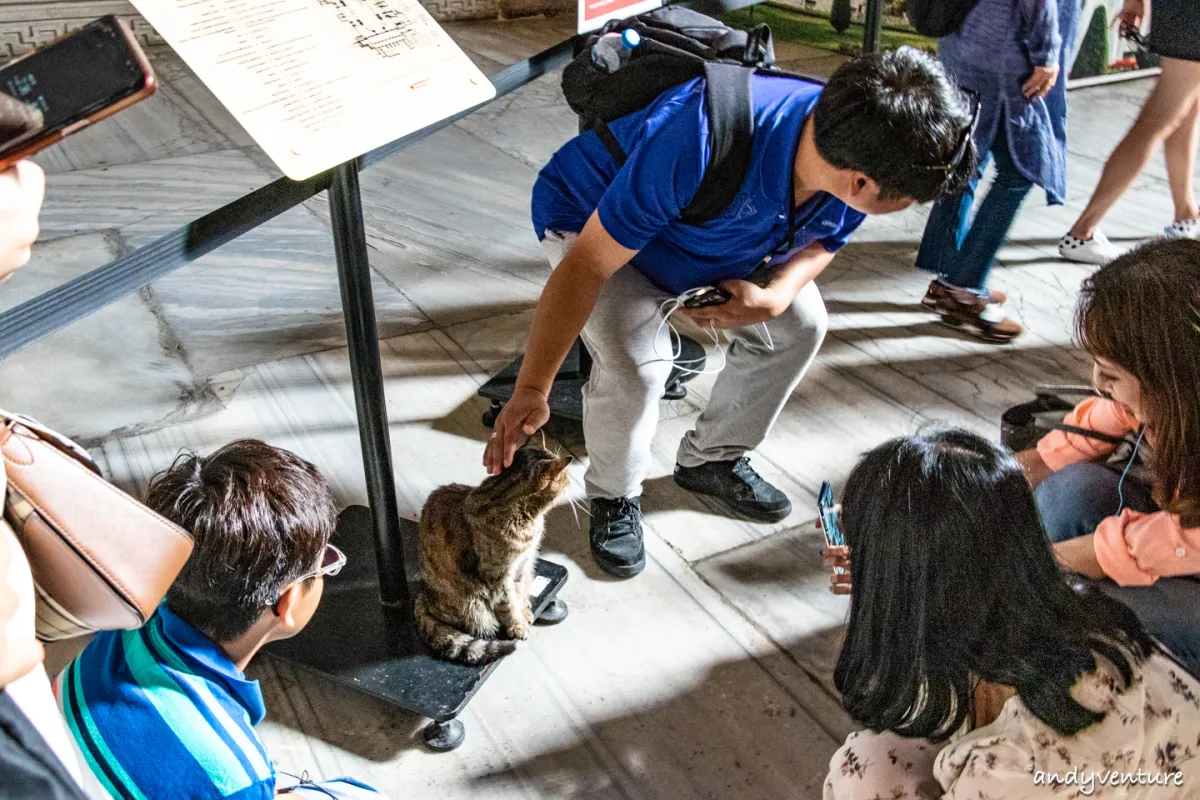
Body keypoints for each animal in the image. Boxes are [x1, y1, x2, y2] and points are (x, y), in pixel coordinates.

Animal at [417, 448, 571, 666]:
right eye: (565, 476)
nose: (570, 482)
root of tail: (424, 594)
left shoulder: (523, 563)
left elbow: (519, 591)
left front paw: (523, 610)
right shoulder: (498, 576)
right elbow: (508, 603)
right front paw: (517, 625)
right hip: (472, 606)